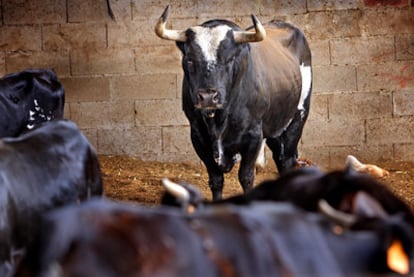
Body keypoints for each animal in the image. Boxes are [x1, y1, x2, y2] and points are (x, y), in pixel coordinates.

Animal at [156, 5, 314, 199]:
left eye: (230, 59)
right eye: (190, 59)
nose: (208, 97)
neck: (218, 120)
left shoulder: (254, 135)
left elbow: (246, 177)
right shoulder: (198, 136)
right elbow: (216, 179)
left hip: (298, 117)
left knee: (286, 159)